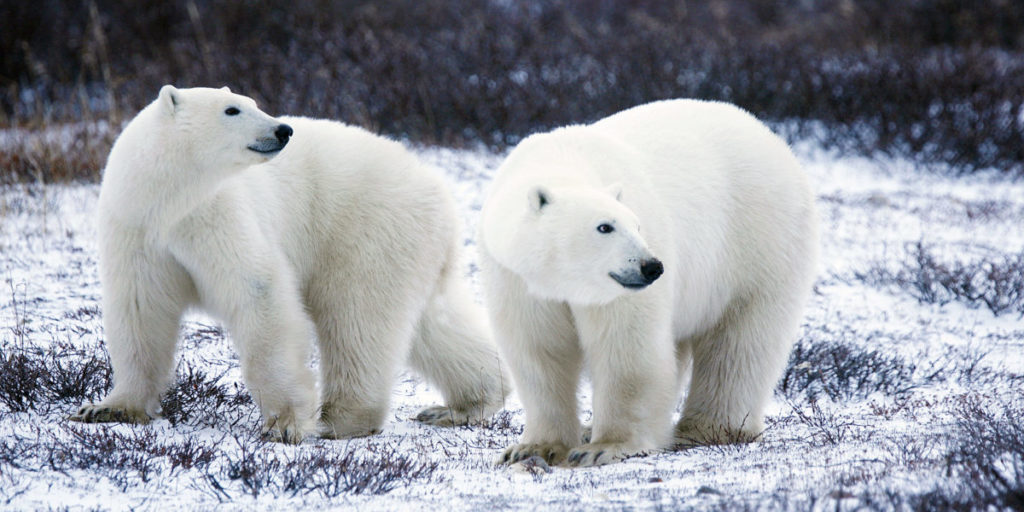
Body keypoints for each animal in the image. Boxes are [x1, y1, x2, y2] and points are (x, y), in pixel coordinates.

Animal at [70, 86, 509, 442]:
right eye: (232, 109)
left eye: (253, 102)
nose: (283, 130)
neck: (169, 200)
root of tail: (439, 189)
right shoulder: (137, 229)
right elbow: (140, 310)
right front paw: (107, 408)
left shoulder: (216, 215)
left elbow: (259, 292)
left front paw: (284, 424)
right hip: (411, 246)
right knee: (431, 323)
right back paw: (465, 404)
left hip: (366, 229)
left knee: (356, 318)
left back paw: (341, 419)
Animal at [479, 97, 815, 466]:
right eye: (605, 227)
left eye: (636, 225)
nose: (651, 267)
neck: (561, 160)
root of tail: (772, 138)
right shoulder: (517, 279)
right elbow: (539, 351)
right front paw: (532, 448)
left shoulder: (618, 291)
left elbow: (627, 348)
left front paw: (604, 447)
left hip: (758, 241)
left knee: (741, 341)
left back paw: (707, 429)